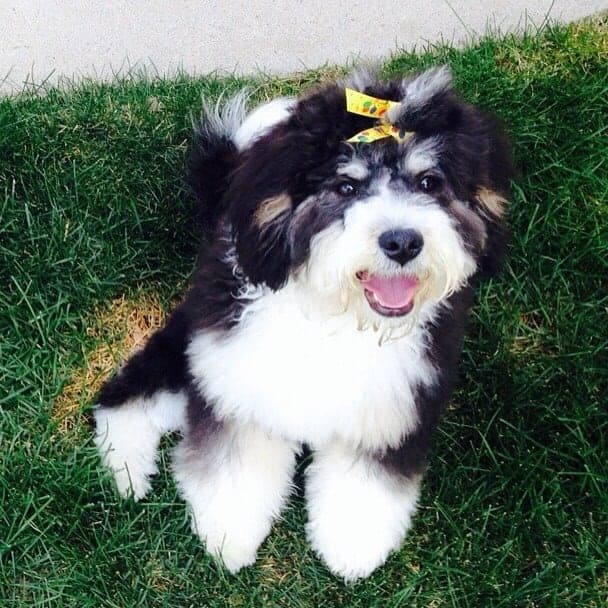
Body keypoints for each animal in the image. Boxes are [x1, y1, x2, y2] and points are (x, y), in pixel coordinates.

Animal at [94, 66, 512, 580]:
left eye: (429, 182)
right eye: (346, 187)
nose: (402, 242)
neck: (339, 319)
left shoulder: (390, 408)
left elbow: (365, 484)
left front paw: (350, 549)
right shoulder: (239, 391)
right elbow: (233, 469)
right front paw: (229, 537)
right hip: (191, 349)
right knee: (126, 397)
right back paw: (127, 470)